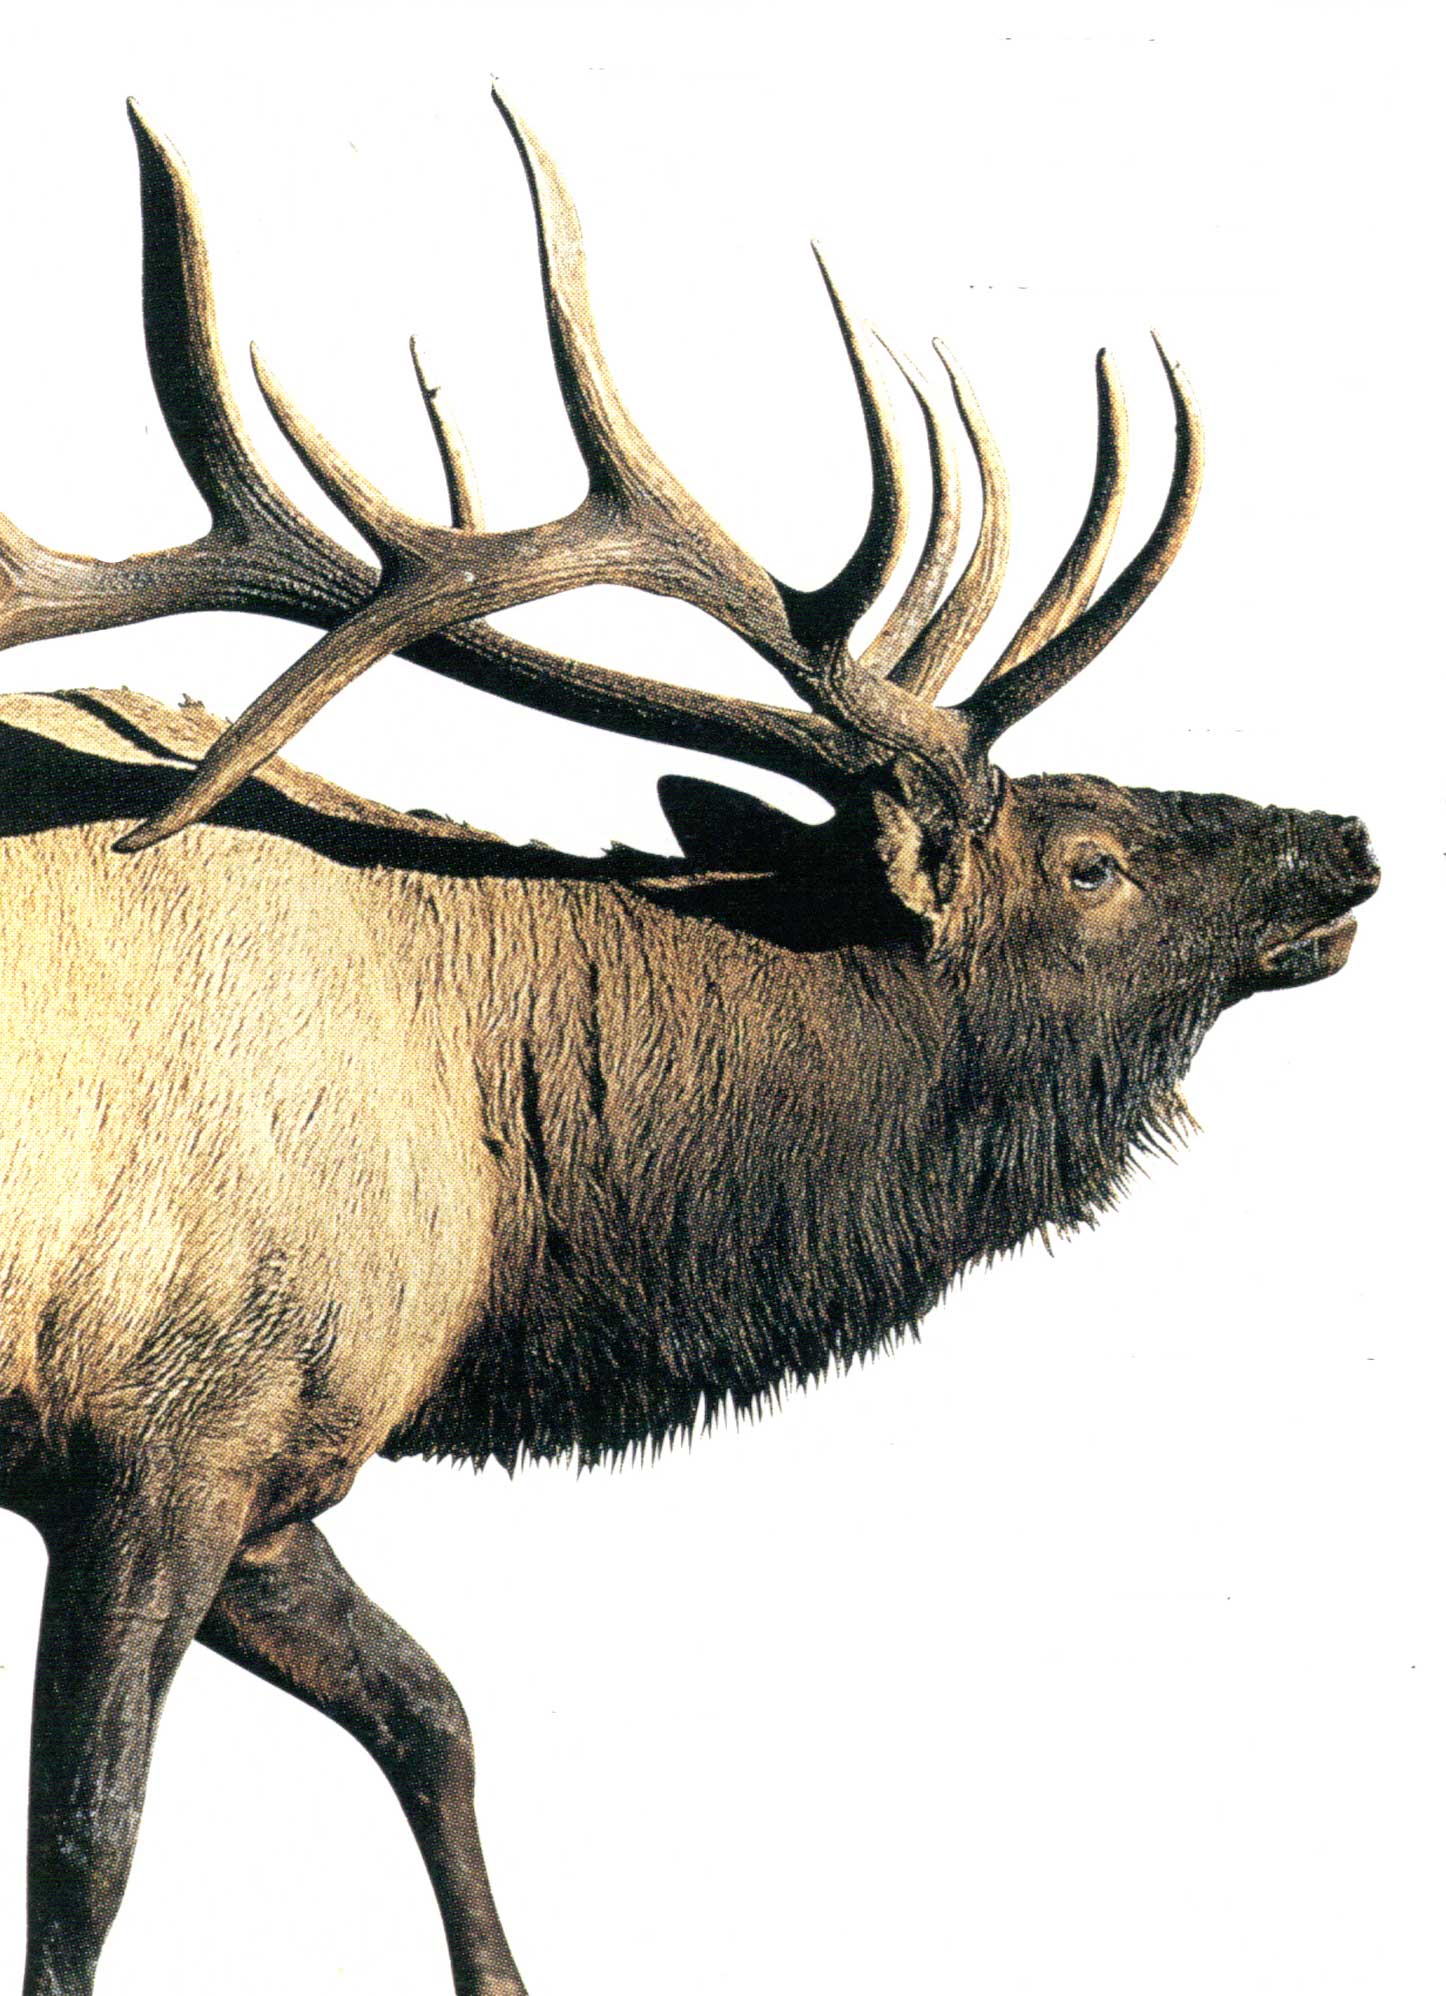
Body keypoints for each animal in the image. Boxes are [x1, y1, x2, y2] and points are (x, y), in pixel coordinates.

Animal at [0, 89, 1377, 1996]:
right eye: (1090, 856)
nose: (1345, 839)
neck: (499, 1210)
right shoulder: (159, 1430)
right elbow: (86, 1853)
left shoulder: (269, 1458)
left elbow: (432, 1714)